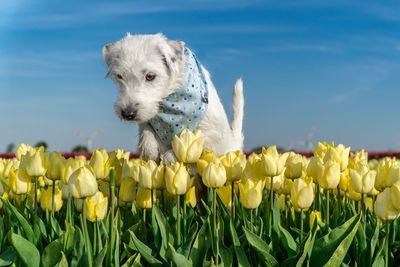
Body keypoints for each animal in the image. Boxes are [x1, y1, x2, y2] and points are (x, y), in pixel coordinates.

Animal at [103, 33, 244, 163]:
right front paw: (149, 151)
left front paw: (169, 157)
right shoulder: (148, 116)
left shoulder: (213, 133)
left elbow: (193, 139)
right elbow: (146, 127)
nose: (128, 114)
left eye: (150, 76)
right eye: (120, 76)